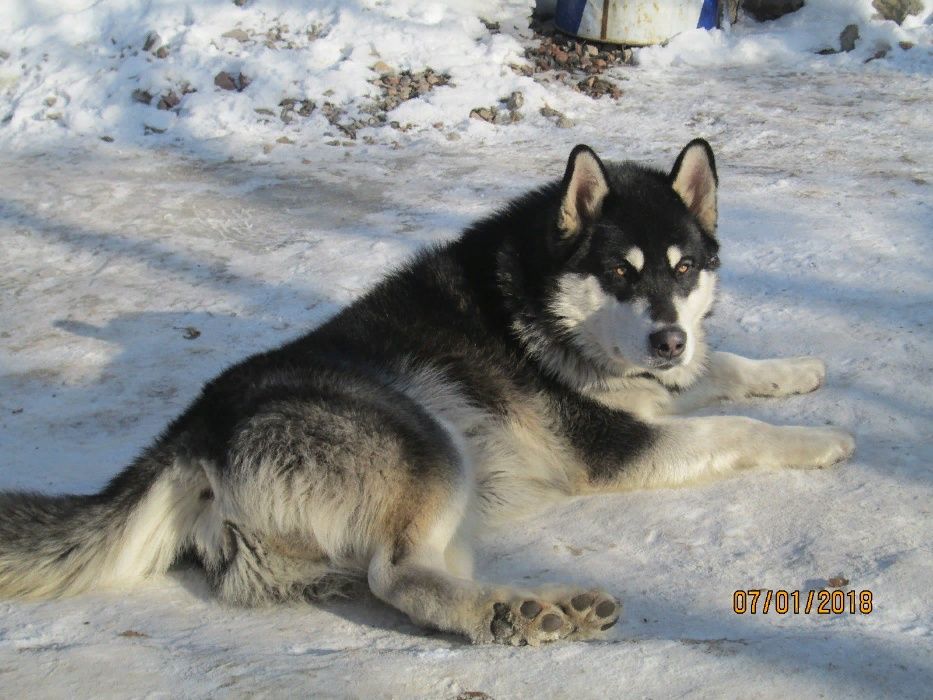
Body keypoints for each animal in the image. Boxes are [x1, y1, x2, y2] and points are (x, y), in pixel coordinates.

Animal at [0, 141, 852, 644]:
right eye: (618, 272)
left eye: (683, 269)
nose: (666, 338)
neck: (542, 301)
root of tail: (195, 427)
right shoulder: (616, 445)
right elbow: (737, 429)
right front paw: (820, 439)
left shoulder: (664, 380)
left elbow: (724, 366)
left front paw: (795, 369)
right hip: (429, 443)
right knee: (396, 574)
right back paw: (511, 610)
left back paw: (537, 604)